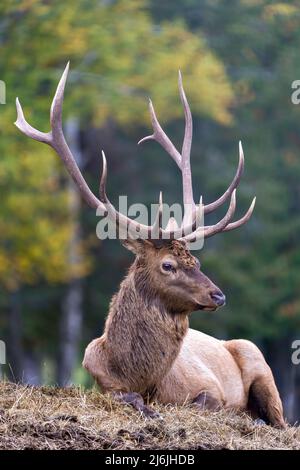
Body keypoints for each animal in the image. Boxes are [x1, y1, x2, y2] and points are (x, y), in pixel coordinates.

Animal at [15, 64, 284, 428]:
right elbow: (127, 398)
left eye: (197, 263)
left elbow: (199, 404)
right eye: (168, 264)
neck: (140, 377)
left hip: (257, 360)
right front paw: (146, 408)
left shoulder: (210, 389)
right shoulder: (101, 381)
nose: (218, 295)